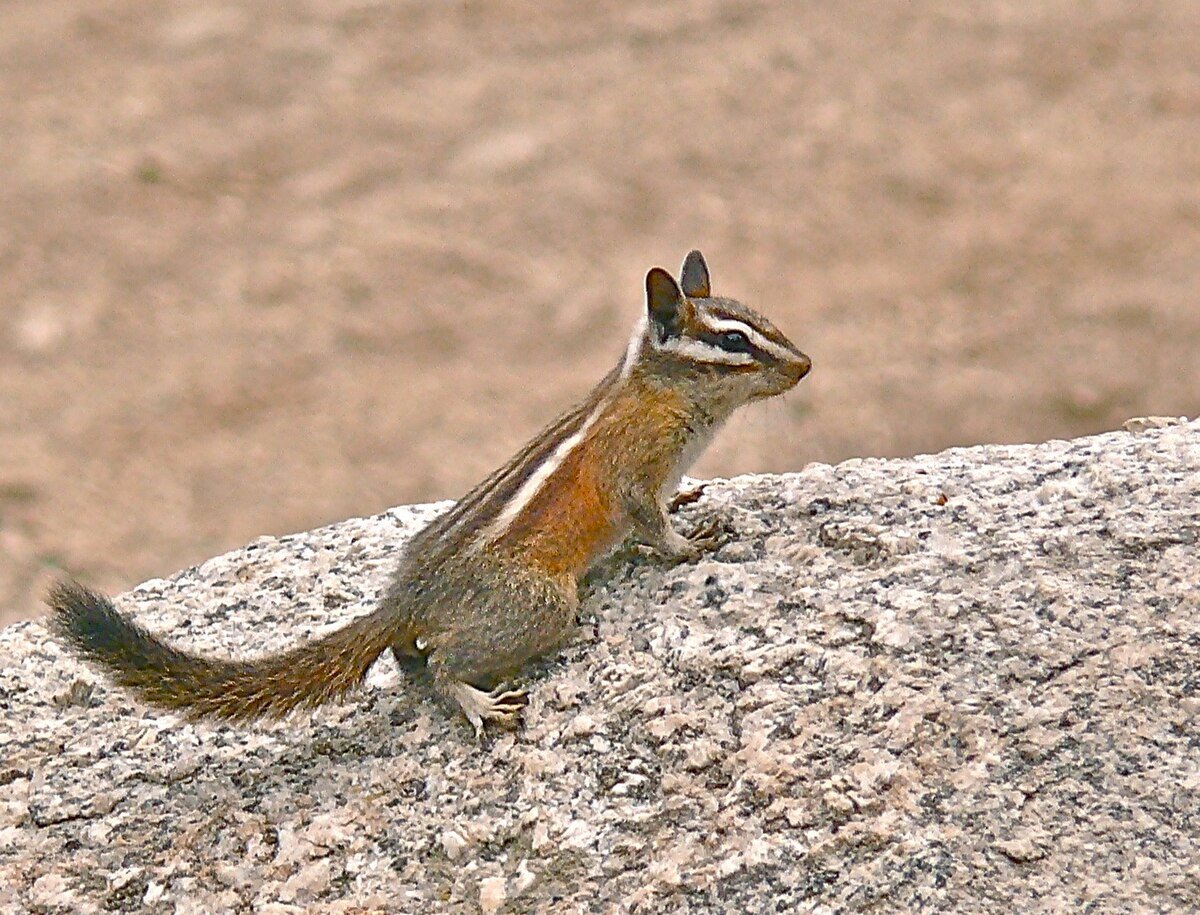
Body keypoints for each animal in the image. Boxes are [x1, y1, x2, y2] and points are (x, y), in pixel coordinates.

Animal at [48, 250, 811, 735]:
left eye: (765, 321)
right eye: (735, 342)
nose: (805, 366)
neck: (660, 392)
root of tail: (407, 597)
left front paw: (690, 503)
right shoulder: (632, 471)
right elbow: (650, 523)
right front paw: (692, 544)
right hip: (539, 604)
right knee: (443, 661)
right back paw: (476, 703)